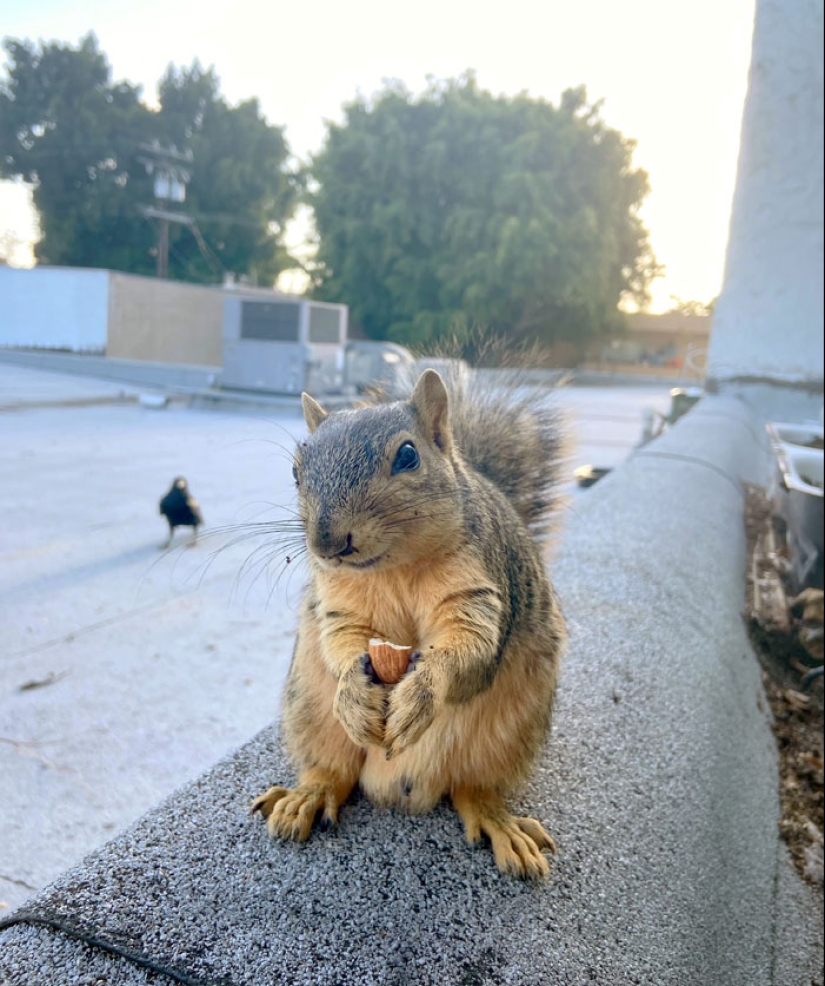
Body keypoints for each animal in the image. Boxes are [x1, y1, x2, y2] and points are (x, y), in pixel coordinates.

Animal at [251, 368, 568, 876]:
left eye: (407, 455)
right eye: (296, 471)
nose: (327, 543)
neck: (395, 568)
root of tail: (399, 785)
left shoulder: (479, 590)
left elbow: (469, 646)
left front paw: (421, 692)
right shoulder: (340, 605)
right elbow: (341, 642)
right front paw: (353, 691)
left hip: (506, 737)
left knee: (471, 788)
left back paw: (499, 822)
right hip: (310, 711)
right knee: (334, 770)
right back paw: (308, 794)